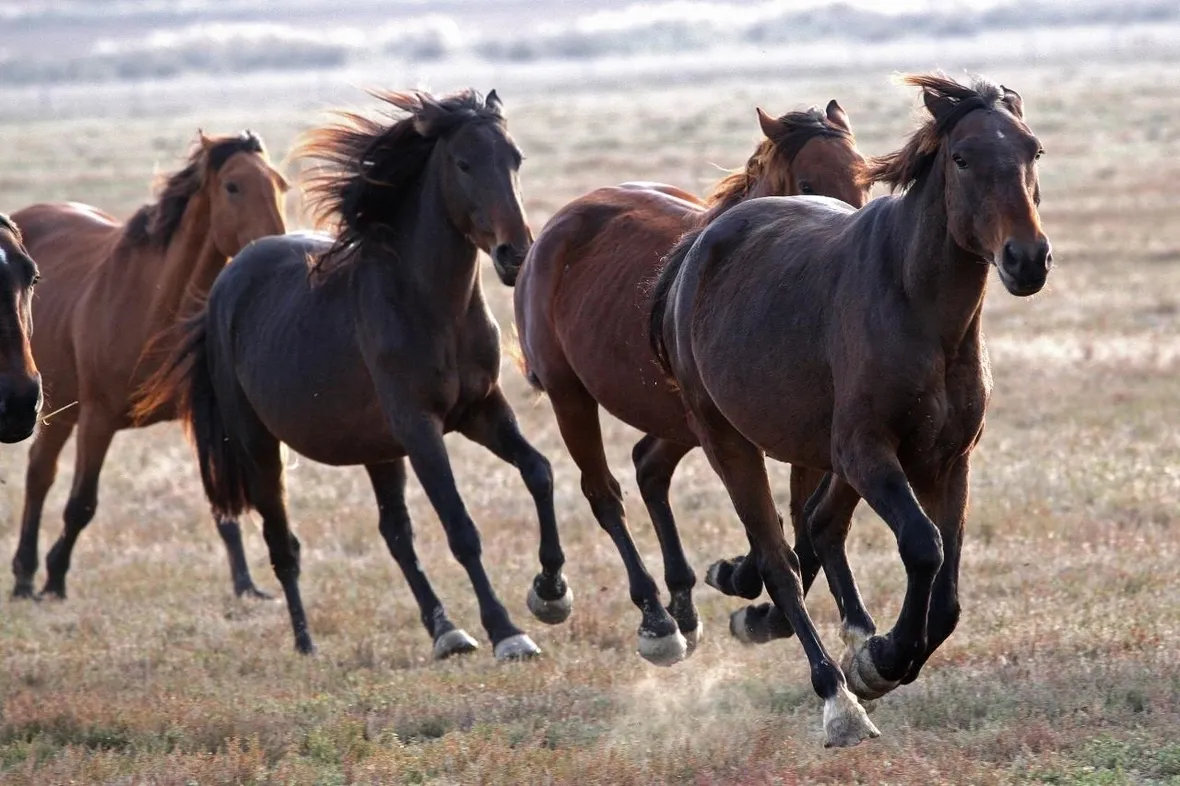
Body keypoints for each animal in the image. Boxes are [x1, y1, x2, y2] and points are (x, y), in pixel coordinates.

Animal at [10, 131, 288, 601]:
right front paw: (56, 578)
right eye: (233, 186)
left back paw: (24, 574)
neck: (156, 306)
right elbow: (82, 503)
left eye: (280, 184)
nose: (276, 247)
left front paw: (246, 584)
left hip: (60, 405)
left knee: (38, 472)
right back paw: (27, 576)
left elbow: (222, 507)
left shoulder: (199, 417)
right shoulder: (98, 418)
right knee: (40, 476)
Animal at [135, 89, 558, 660]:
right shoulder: (419, 428)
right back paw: (306, 643)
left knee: (395, 533)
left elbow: (539, 472)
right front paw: (507, 631)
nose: (515, 254)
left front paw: (551, 592)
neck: (428, 306)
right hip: (259, 445)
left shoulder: (481, 410)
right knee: (282, 542)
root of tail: (225, 283)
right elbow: (460, 528)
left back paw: (445, 630)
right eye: (464, 163)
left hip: (378, 448)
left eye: (515, 159)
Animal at [511, 101, 869, 665]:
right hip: (573, 398)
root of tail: (555, 229)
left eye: (866, 177)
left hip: (674, 423)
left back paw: (683, 601)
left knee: (649, 469)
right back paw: (655, 620)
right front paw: (747, 583)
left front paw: (761, 600)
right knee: (604, 494)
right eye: (809, 181)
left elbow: (805, 521)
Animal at [650, 73, 1050, 746]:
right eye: (963, 158)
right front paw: (880, 663)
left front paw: (878, 655)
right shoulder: (868, 450)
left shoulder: (947, 461)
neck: (919, 310)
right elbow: (922, 546)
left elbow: (947, 597)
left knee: (819, 526)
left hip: (827, 457)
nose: (1027, 258)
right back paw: (838, 700)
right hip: (731, 441)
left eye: (1033, 150)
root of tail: (697, 248)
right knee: (780, 561)